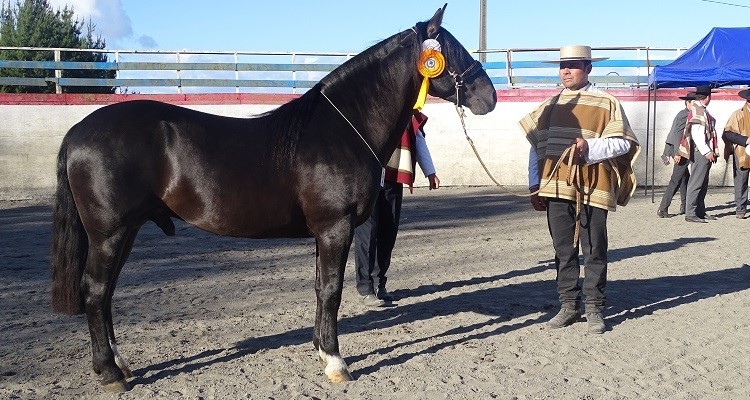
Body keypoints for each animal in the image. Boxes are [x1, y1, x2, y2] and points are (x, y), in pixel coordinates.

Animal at [50, 3, 496, 394]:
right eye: (452, 49)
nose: (488, 97)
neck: (342, 128)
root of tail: (76, 132)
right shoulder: (336, 228)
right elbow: (332, 291)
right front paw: (337, 363)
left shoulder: (325, 232)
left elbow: (320, 289)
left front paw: (322, 351)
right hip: (109, 234)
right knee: (95, 291)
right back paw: (111, 374)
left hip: (123, 233)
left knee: (106, 294)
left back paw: (120, 364)